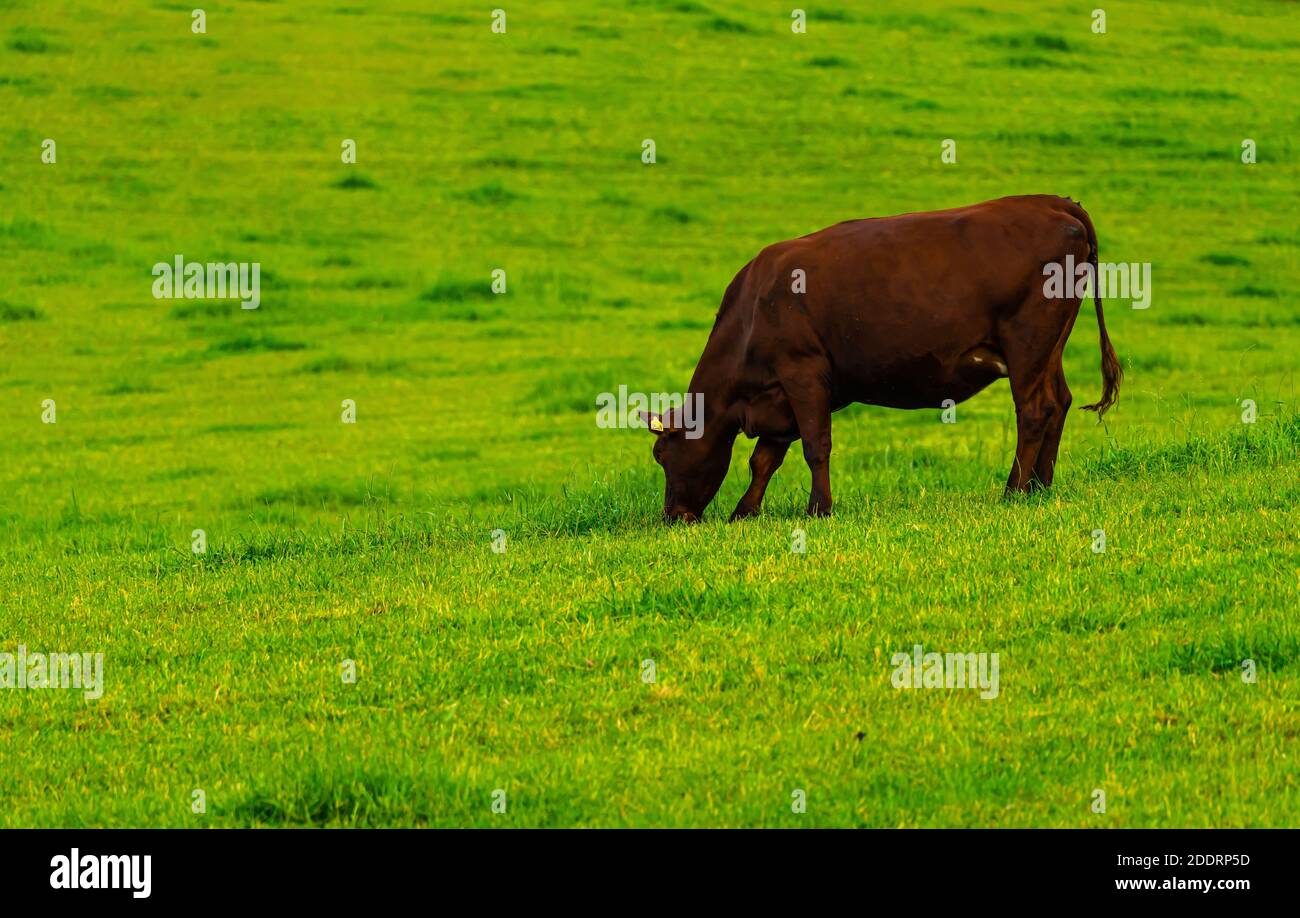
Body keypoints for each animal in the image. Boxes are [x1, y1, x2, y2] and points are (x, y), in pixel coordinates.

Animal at [640, 194, 1122, 523]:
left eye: (662, 453)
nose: (673, 516)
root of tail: (1050, 203)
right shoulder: (779, 397)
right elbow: (764, 460)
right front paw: (744, 511)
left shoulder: (802, 372)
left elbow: (815, 446)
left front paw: (819, 509)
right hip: (1048, 348)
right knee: (1058, 403)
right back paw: (1040, 487)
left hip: (1026, 342)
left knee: (1035, 410)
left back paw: (1014, 490)